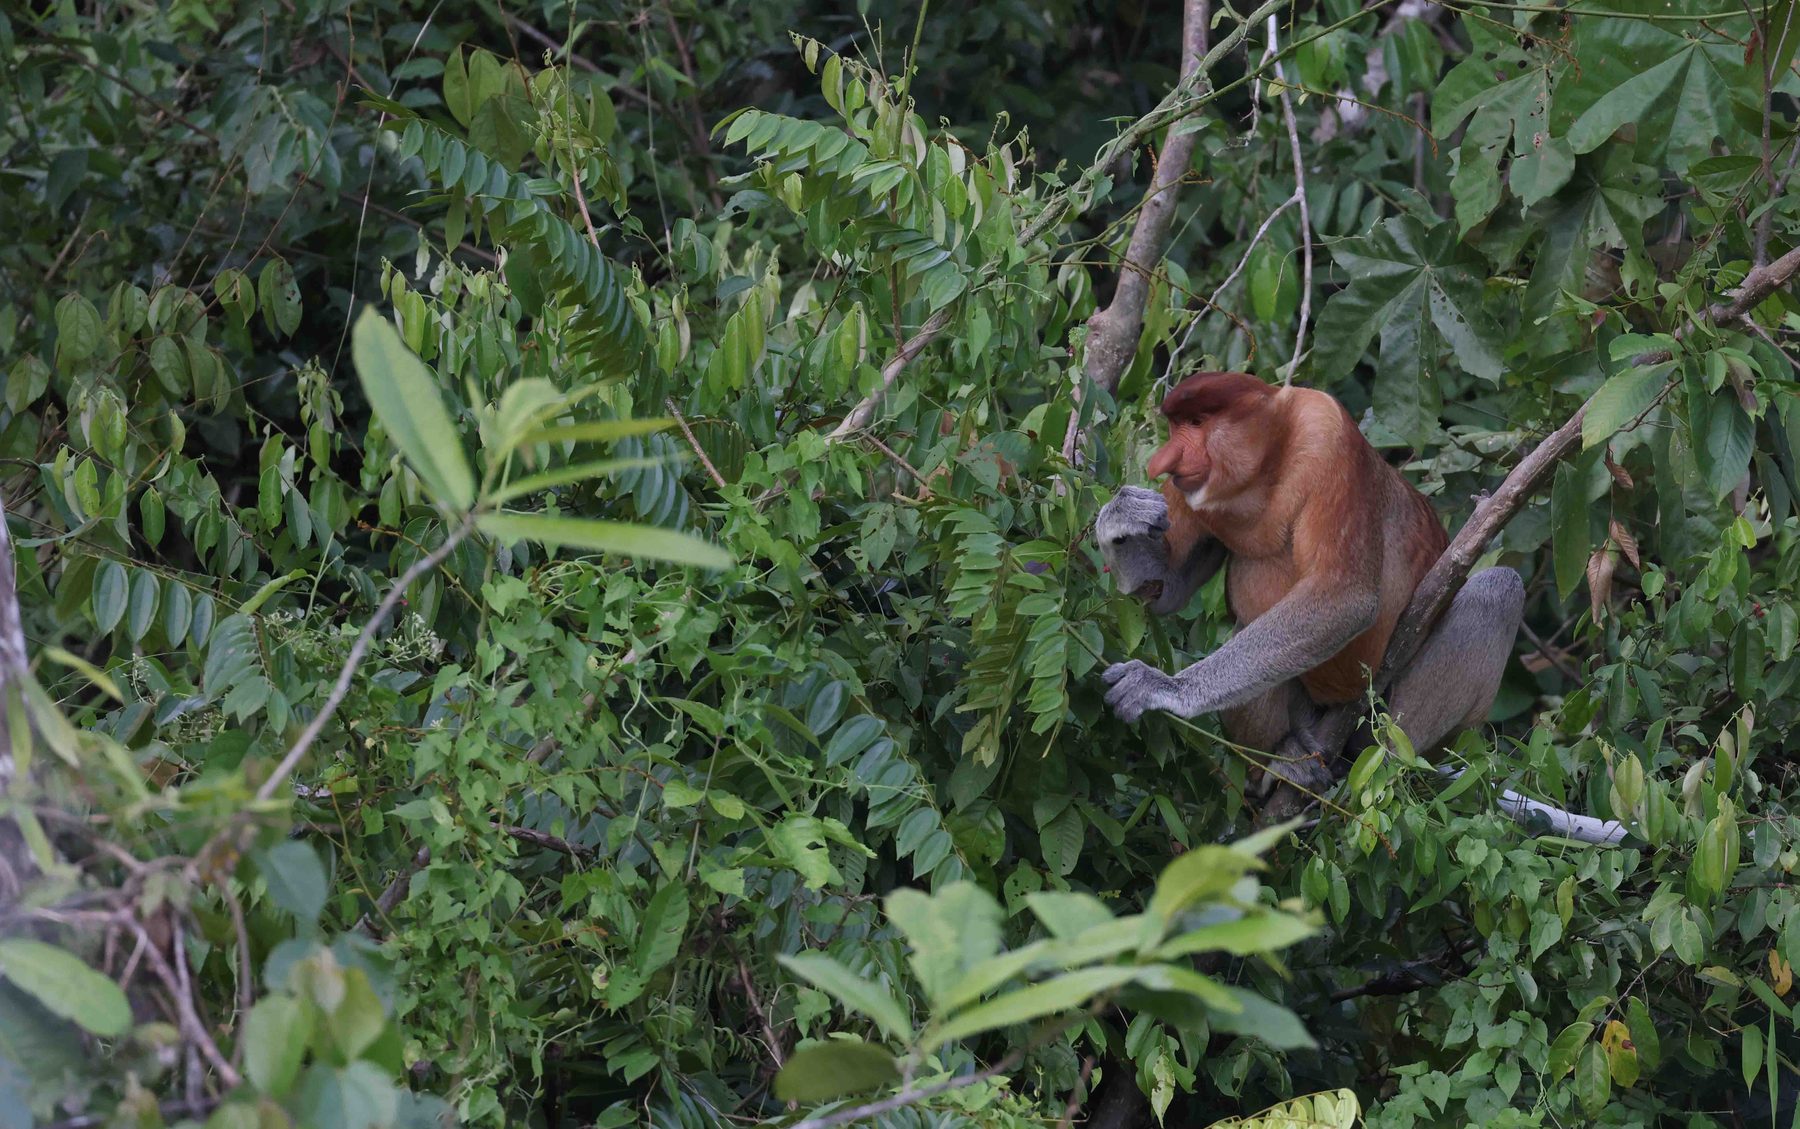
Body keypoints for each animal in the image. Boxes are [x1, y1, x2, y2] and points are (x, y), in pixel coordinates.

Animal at [1096, 371, 1524, 788]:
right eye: (1175, 426)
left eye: (1198, 423)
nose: (1164, 461)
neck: (1269, 470)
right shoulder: (1188, 494)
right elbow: (1165, 592)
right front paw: (1121, 513)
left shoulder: (1328, 435)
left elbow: (1343, 596)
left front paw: (1164, 687)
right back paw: (1283, 759)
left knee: (1499, 588)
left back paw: (1389, 763)